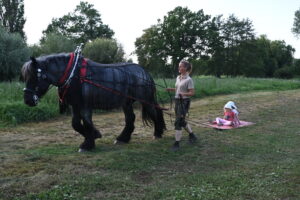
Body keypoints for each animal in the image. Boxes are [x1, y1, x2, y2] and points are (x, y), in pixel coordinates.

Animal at [21, 52, 166, 152]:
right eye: (26, 77)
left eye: (35, 76)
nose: (28, 100)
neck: (74, 75)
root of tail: (144, 72)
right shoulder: (75, 105)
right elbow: (75, 124)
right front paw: (94, 135)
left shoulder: (85, 105)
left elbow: (86, 122)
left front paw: (88, 144)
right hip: (127, 102)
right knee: (131, 118)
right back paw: (122, 138)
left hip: (146, 99)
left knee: (154, 112)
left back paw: (157, 133)